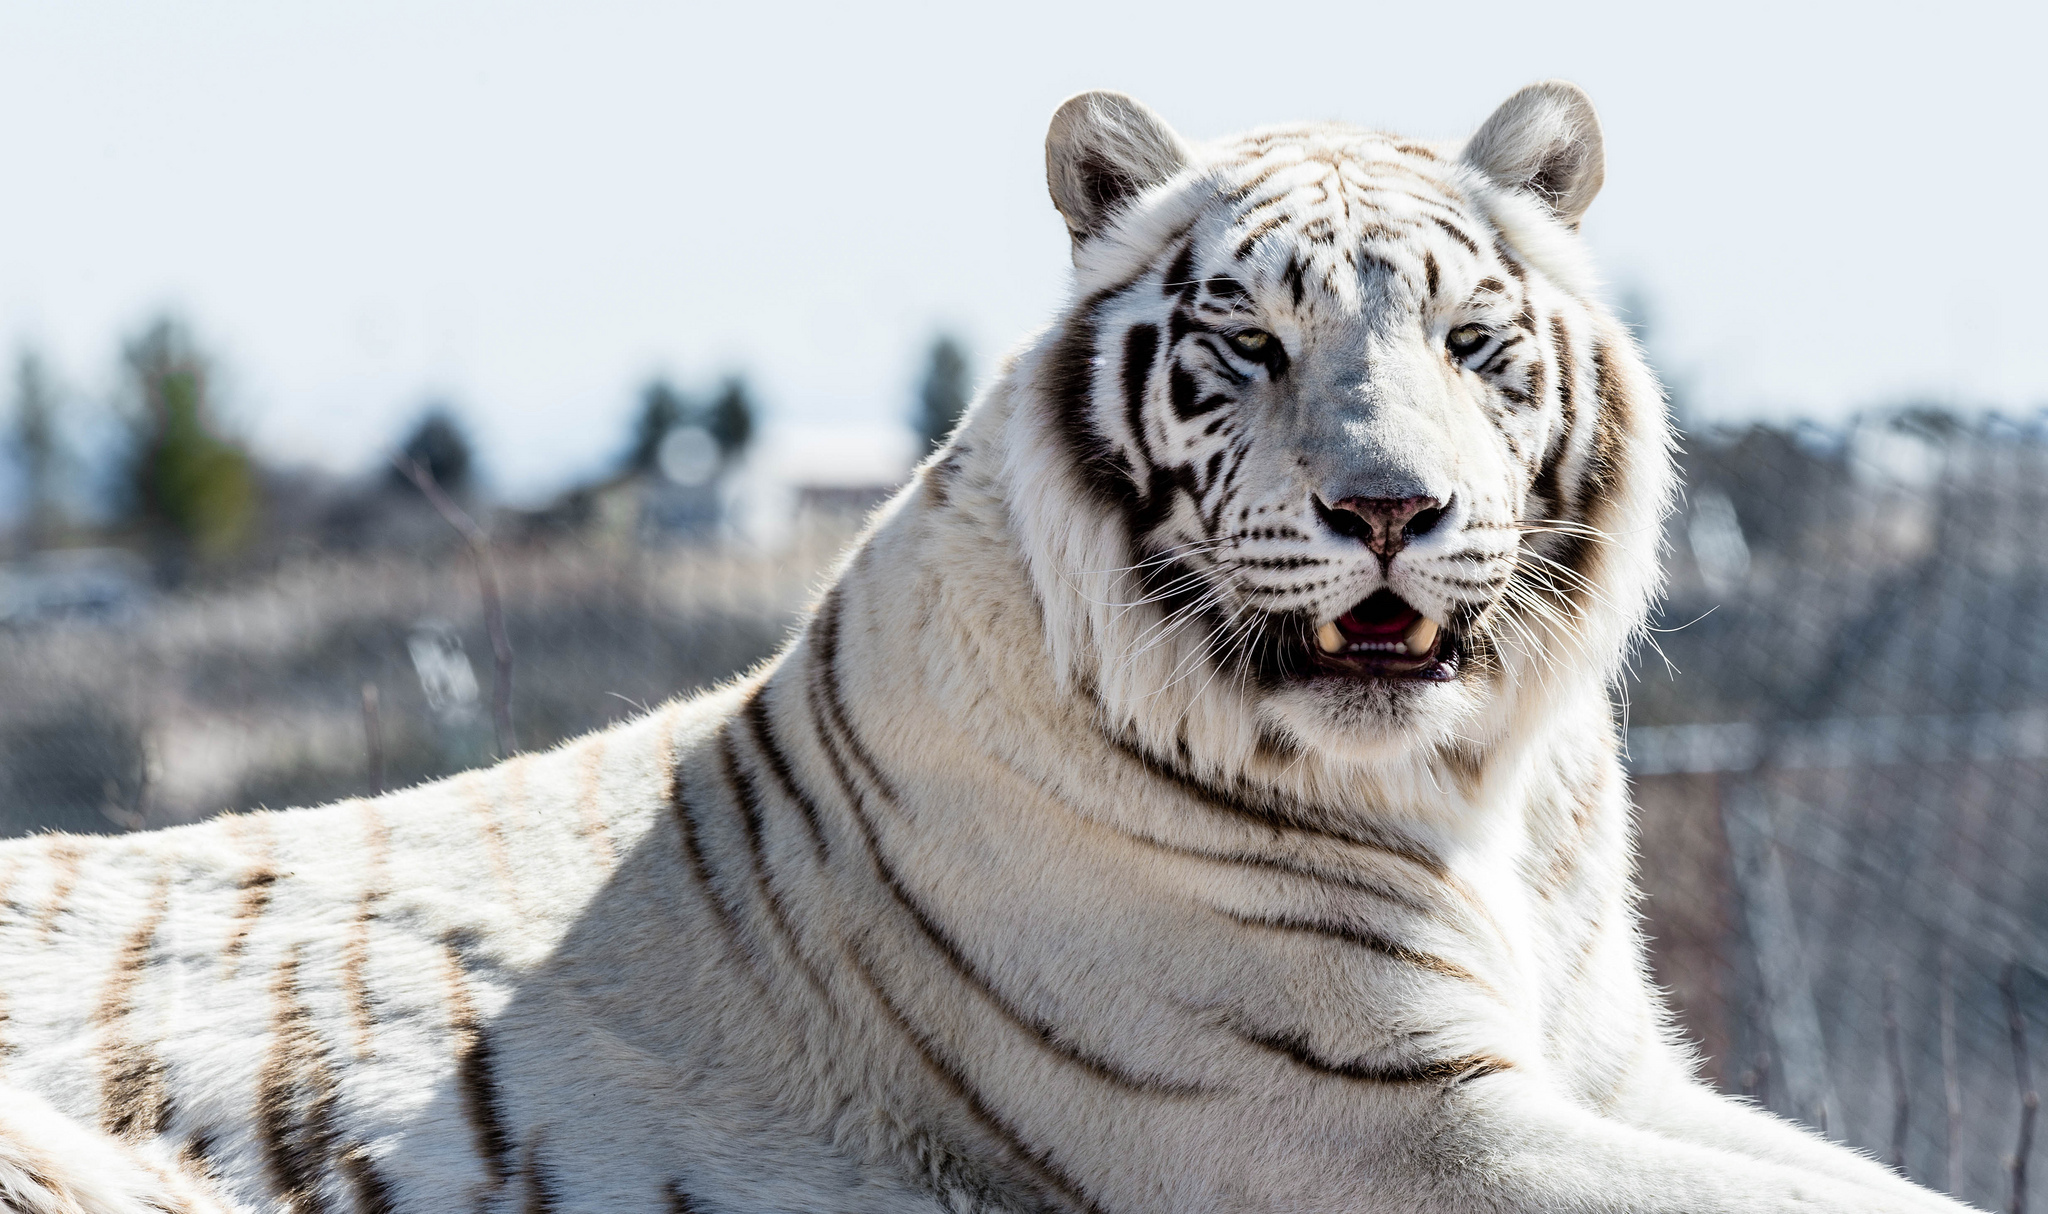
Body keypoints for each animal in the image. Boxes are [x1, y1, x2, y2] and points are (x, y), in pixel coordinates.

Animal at [0, 84, 1982, 1211]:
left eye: (1472, 343)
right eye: (1249, 343)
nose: (1391, 507)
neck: (1473, 794)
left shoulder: (1617, 1071)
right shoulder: (1389, 1124)